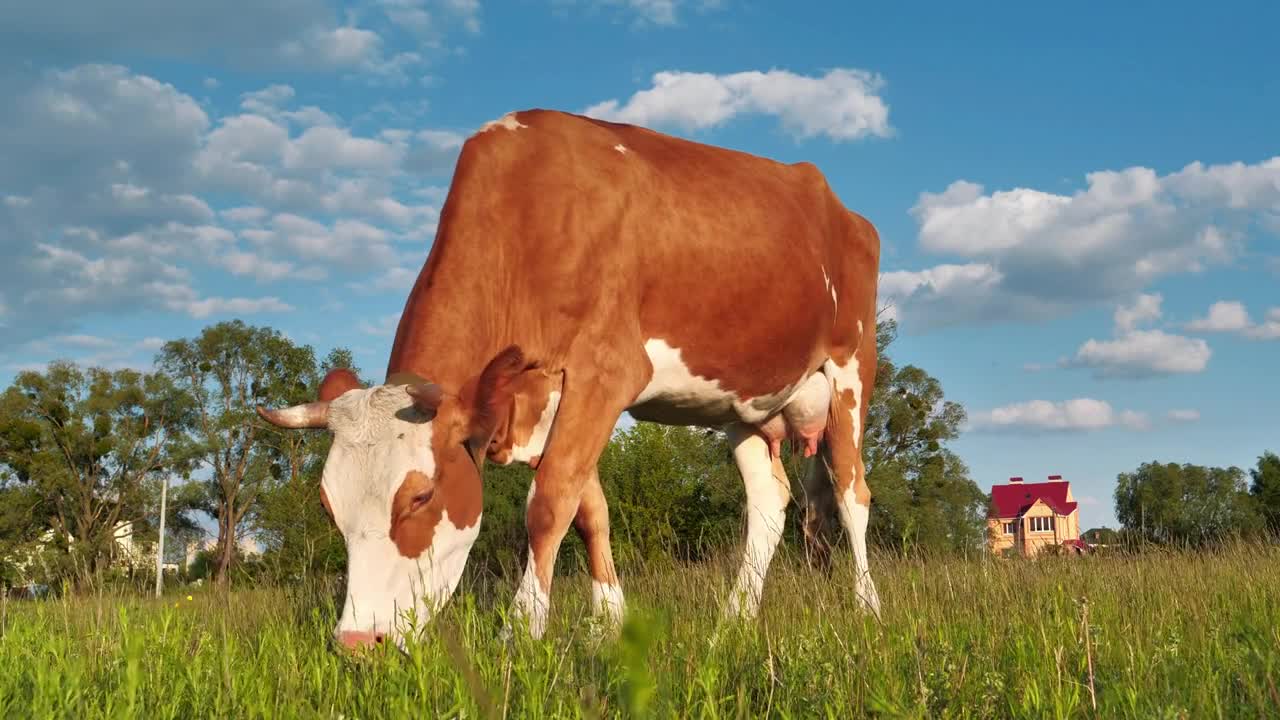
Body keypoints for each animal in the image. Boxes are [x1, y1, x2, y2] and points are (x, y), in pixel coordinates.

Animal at [257, 107, 880, 650]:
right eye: (328, 506)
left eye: (420, 496)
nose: (357, 644)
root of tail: (840, 207)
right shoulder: (552, 395)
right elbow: (589, 510)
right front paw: (610, 625)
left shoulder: (605, 372)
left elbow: (549, 503)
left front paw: (521, 630)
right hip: (742, 402)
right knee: (769, 501)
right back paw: (735, 619)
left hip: (851, 367)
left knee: (852, 492)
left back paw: (866, 608)